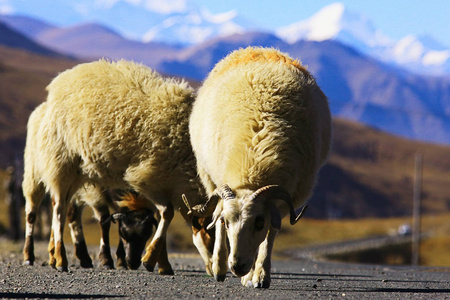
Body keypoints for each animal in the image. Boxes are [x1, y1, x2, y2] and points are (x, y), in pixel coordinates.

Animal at [185, 47, 330, 288]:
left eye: (259, 222)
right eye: (227, 223)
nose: (237, 266)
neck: (251, 175)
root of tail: (262, 50)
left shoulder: (284, 199)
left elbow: (270, 235)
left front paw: (259, 275)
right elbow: (218, 219)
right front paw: (229, 269)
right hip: (208, 176)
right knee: (214, 212)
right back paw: (219, 267)